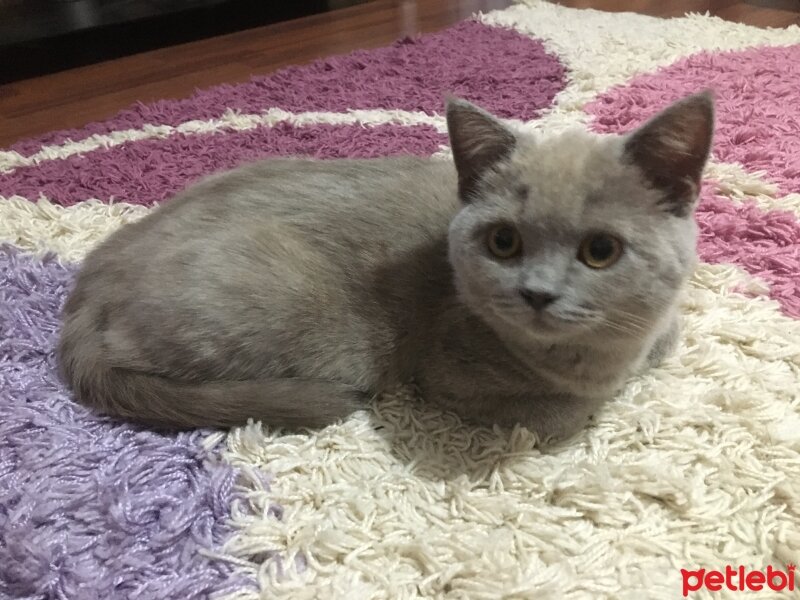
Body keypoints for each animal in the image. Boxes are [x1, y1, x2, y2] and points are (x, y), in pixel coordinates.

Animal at [59, 92, 716, 440]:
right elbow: (565, 412)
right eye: (503, 242)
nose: (537, 293)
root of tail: (88, 290)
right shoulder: (450, 375)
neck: (602, 357)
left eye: (601, 251)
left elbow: (668, 336)